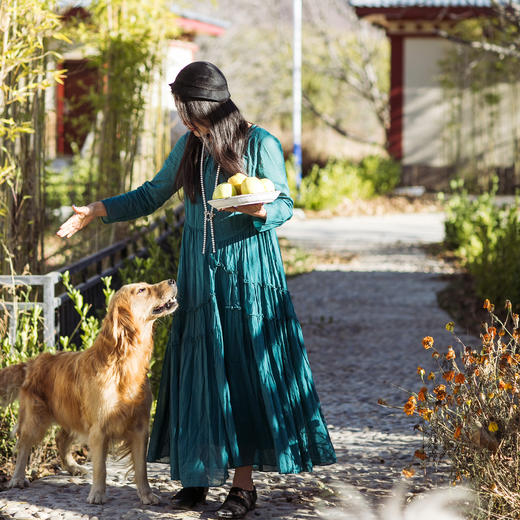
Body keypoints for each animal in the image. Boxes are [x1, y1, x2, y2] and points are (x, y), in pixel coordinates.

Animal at [0, 280, 177, 504]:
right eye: (142, 290)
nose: (172, 280)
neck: (123, 362)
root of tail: (32, 362)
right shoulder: (99, 429)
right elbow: (101, 468)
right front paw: (97, 494)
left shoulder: (139, 427)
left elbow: (141, 469)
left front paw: (146, 495)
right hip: (36, 419)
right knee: (23, 444)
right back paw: (17, 478)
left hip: (72, 414)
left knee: (60, 438)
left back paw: (73, 467)